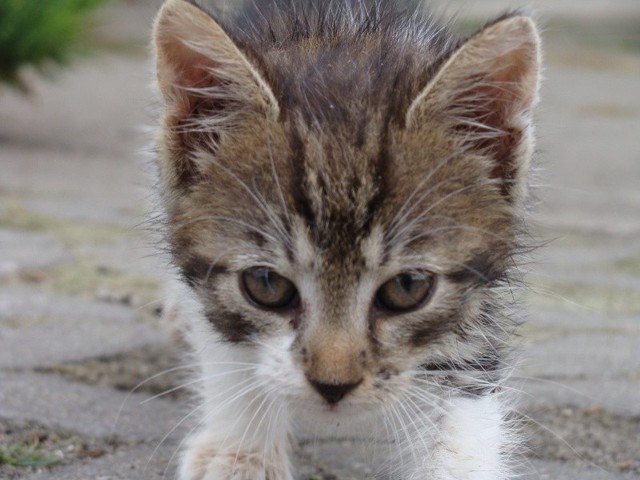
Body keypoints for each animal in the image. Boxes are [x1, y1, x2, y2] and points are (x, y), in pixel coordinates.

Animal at [151, 0, 540, 476]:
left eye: (407, 288)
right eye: (266, 284)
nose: (332, 385)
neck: (343, 35)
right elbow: (225, 344)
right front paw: (241, 453)